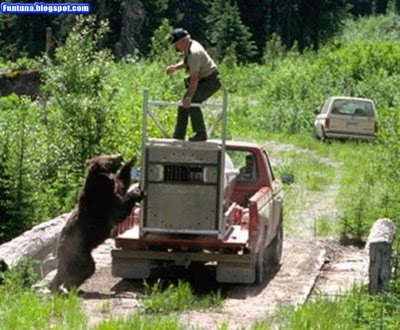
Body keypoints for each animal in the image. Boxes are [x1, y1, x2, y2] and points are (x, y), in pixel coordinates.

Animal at [49, 153, 144, 292]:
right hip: (79, 251)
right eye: (109, 159)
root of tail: (58, 248)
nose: (120, 156)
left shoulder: (112, 190)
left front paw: (131, 161)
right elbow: (120, 210)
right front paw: (136, 193)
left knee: (64, 271)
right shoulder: (103, 203)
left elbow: (122, 183)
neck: (100, 184)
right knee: (86, 268)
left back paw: (57, 287)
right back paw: (70, 286)